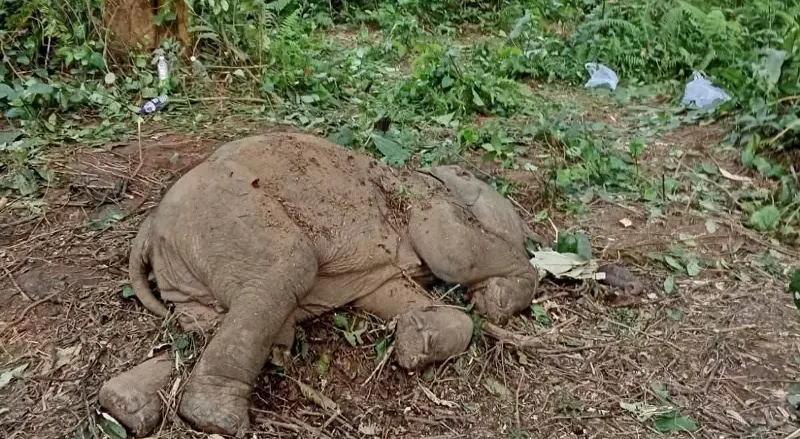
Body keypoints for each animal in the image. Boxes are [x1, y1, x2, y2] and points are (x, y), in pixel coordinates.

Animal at [99, 132, 539, 436]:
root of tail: (149, 227)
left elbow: (392, 295)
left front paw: (414, 341)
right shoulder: (427, 201)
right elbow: (454, 248)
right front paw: (495, 301)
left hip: (190, 267)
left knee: (202, 327)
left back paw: (127, 403)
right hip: (227, 216)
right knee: (287, 269)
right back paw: (215, 419)